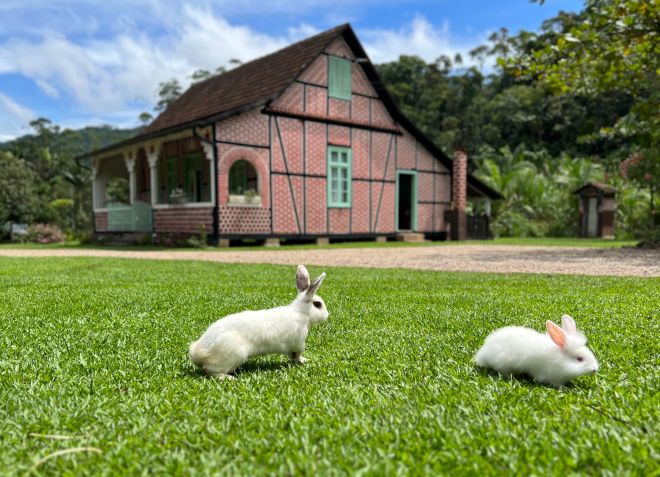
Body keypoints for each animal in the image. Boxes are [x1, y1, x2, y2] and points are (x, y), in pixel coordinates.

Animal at [188, 262, 328, 378]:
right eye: (317, 304)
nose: (327, 315)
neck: (301, 312)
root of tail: (197, 353)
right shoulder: (298, 343)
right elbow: (297, 355)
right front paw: (304, 361)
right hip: (233, 354)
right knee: (210, 370)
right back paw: (229, 378)